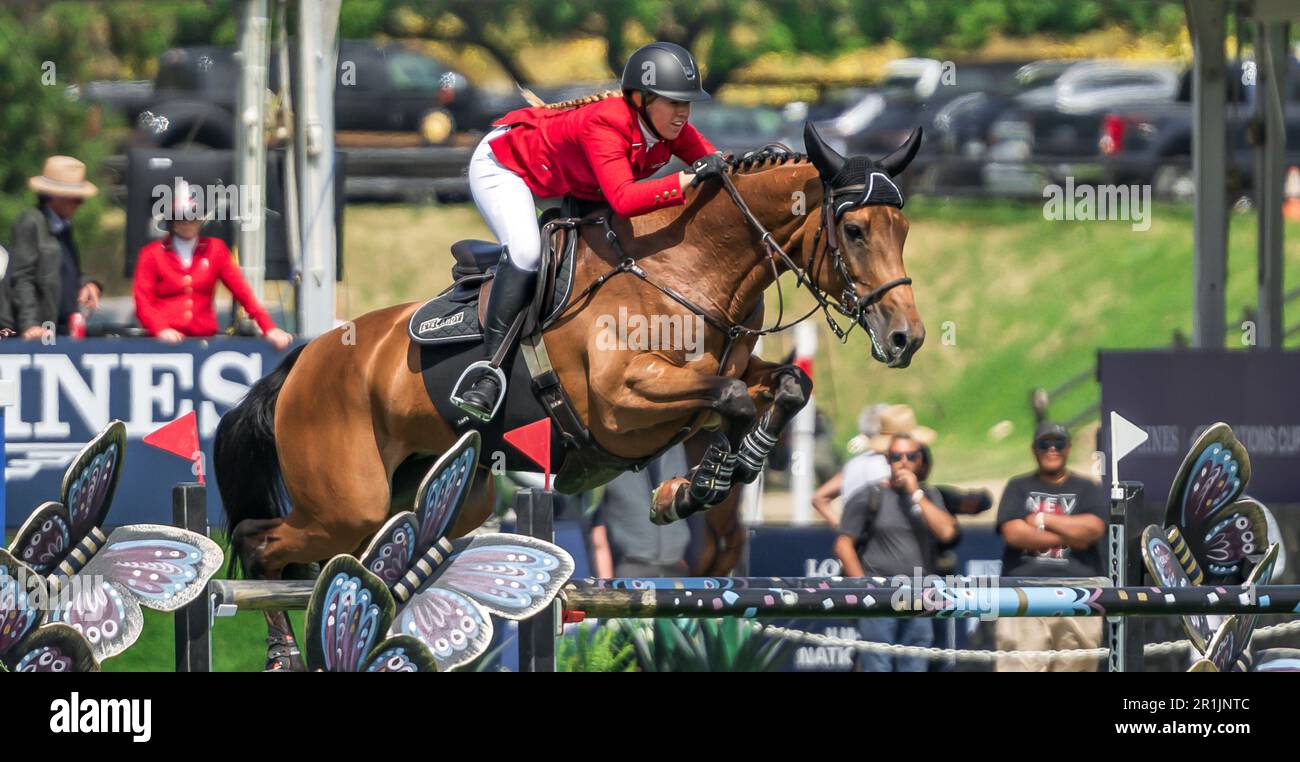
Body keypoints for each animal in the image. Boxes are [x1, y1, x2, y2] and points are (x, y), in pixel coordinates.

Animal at [213, 121, 925, 665]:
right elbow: (730, 397)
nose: (906, 338)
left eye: (903, 230)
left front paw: (710, 478)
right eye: (854, 231)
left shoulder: (713, 378)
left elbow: (784, 385)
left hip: (446, 499)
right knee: (258, 540)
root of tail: (304, 360)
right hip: (346, 500)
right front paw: (697, 484)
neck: (684, 266)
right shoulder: (620, 403)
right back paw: (282, 651)